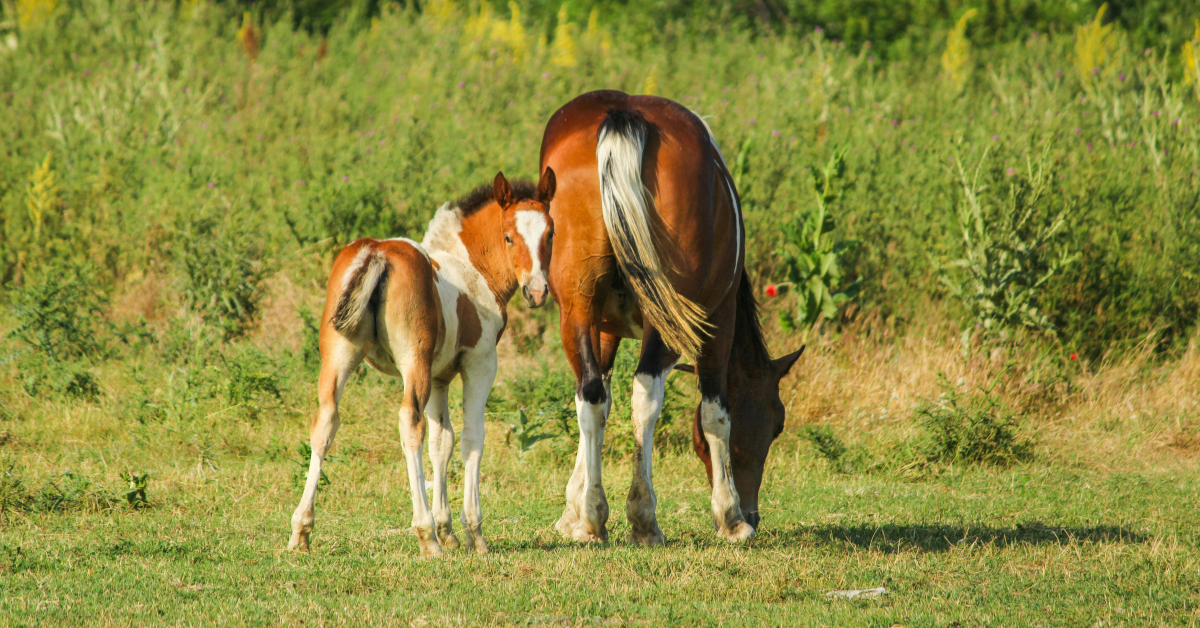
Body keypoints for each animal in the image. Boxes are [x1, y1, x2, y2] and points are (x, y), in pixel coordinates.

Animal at [288, 169, 556, 557]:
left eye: (550, 233)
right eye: (509, 237)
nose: (536, 292)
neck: (471, 268)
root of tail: (376, 253)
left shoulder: (440, 376)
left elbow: (442, 441)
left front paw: (449, 531)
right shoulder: (480, 363)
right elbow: (472, 437)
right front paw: (473, 534)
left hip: (339, 356)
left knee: (325, 423)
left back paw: (301, 531)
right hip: (413, 363)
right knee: (409, 424)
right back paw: (426, 534)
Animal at [538, 90, 803, 545]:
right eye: (776, 424)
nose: (754, 513)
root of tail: (624, 114)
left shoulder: (603, 327)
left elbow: (599, 400)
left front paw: (575, 508)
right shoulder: (718, 321)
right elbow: (716, 413)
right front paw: (731, 517)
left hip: (576, 306)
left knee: (590, 394)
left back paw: (592, 519)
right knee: (646, 395)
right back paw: (644, 518)